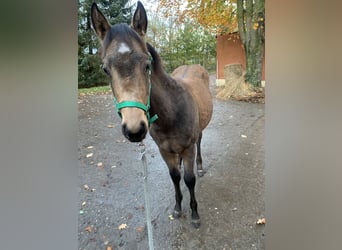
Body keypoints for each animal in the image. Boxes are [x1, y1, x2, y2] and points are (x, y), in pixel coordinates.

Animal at [89, 0, 212, 229]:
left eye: (147, 65)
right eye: (105, 70)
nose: (135, 129)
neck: (171, 113)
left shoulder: (188, 148)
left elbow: (189, 180)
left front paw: (194, 214)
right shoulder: (164, 150)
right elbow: (174, 176)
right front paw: (177, 207)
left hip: (198, 133)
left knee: (200, 143)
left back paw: (200, 167)